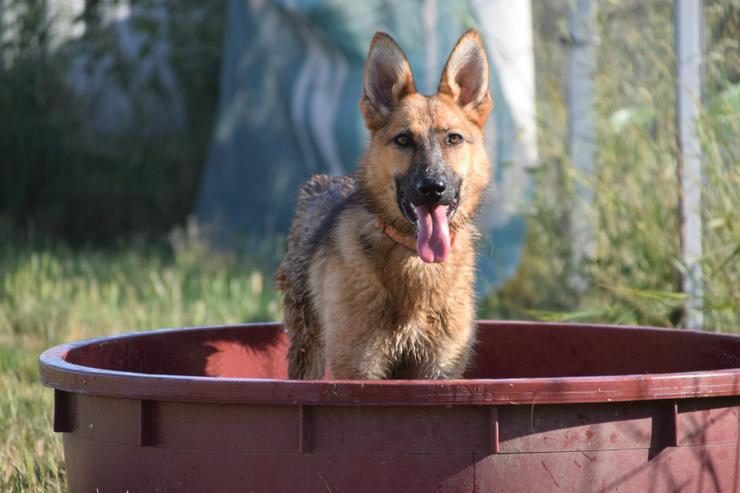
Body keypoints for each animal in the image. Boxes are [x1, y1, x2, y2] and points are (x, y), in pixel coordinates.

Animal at [276, 28, 492, 378]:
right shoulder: (358, 369)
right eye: (403, 140)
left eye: (454, 138)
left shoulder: (439, 370)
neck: (416, 264)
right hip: (309, 351)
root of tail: (323, 181)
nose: (433, 188)